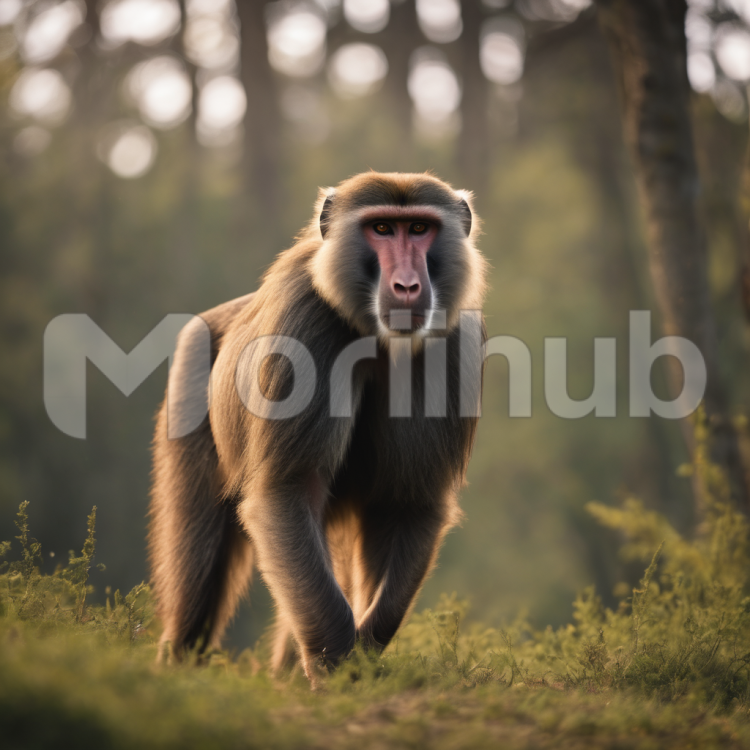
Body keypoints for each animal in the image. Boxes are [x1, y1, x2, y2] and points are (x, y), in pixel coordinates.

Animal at [148, 171, 487, 684]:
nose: (408, 286)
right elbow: (286, 494)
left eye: (419, 229)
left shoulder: (451, 342)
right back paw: (182, 663)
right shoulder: (305, 319)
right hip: (190, 370)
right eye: (382, 228)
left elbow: (409, 503)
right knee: (200, 566)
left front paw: (363, 652)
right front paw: (338, 666)